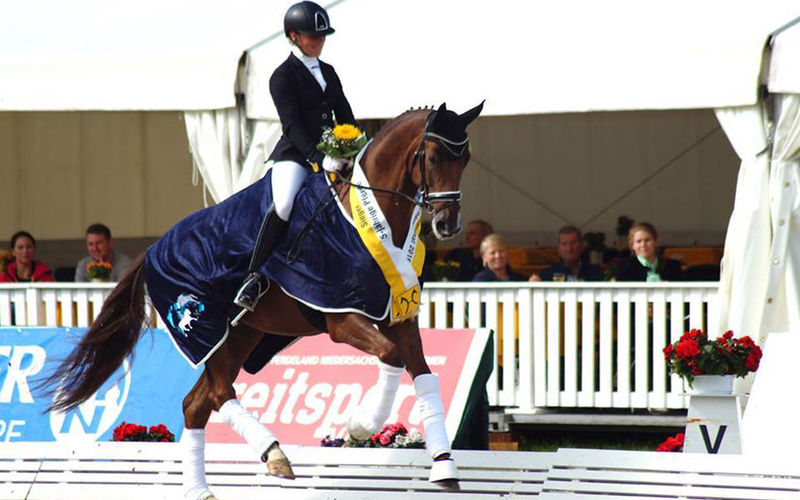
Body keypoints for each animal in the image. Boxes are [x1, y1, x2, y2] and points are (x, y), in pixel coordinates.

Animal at [43, 101, 484, 500]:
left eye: (465, 159)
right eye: (432, 156)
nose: (447, 224)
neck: (367, 222)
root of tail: (152, 249)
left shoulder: (400, 317)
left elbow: (425, 376)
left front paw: (444, 467)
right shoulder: (342, 319)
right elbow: (390, 357)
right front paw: (362, 424)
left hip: (241, 334)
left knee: (195, 403)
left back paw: (201, 491)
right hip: (208, 331)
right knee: (217, 393)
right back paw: (274, 454)